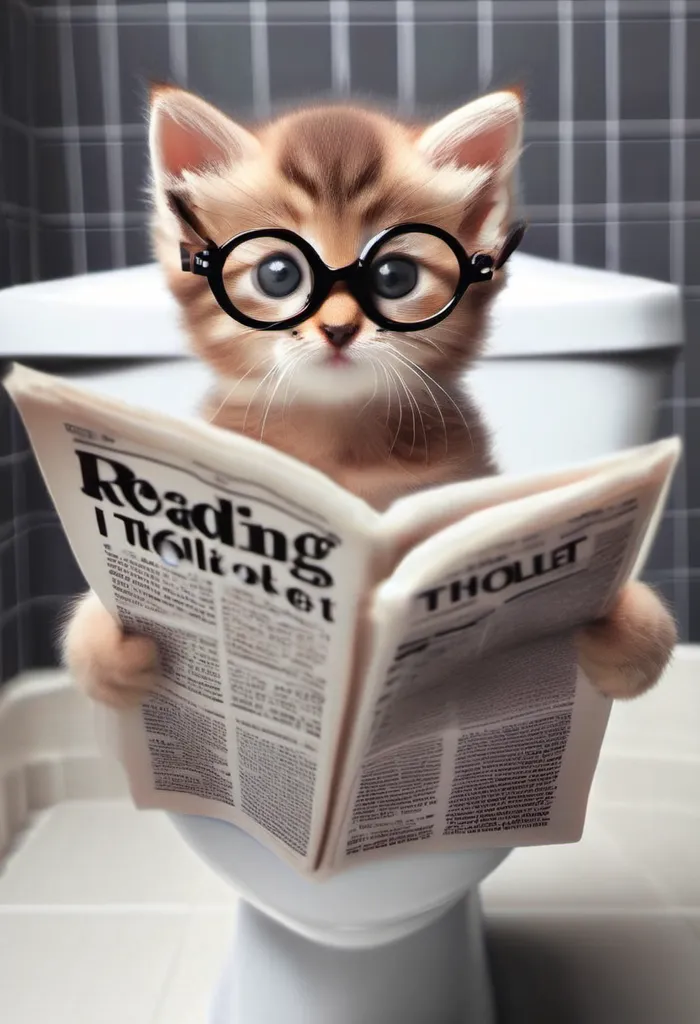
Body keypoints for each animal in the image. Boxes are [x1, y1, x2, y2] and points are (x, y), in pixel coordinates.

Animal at [62, 86, 675, 704]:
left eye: (394, 276)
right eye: (279, 273)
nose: (338, 329)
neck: (340, 446)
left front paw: (617, 625)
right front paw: (113, 643)